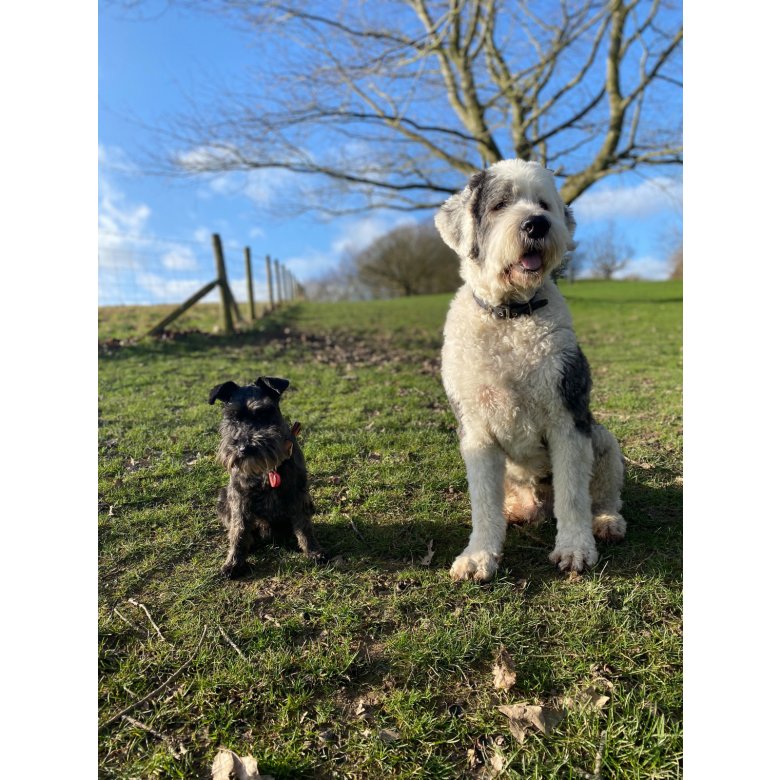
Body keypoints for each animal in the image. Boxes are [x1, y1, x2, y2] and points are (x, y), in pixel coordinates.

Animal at [207, 374, 322, 576]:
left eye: (262, 413)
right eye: (232, 417)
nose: (244, 448)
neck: (265, 471)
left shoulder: (298, 494)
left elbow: (304, 525)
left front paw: (313, 551)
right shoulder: (239, 497)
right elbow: (238, 530)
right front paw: (233, 563)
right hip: (223, 499)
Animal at [436, 158, 624, 580]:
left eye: (543, 203)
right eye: (500, 204)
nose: (536, 224)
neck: (512, 315)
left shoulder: (567, 420)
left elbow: (573, 496)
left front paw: (574, 549)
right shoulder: (476, 434)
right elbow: (483, 502)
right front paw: (479, 555)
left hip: (602, 439)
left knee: (603, 494)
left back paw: (605, 521)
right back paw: (517, 511)